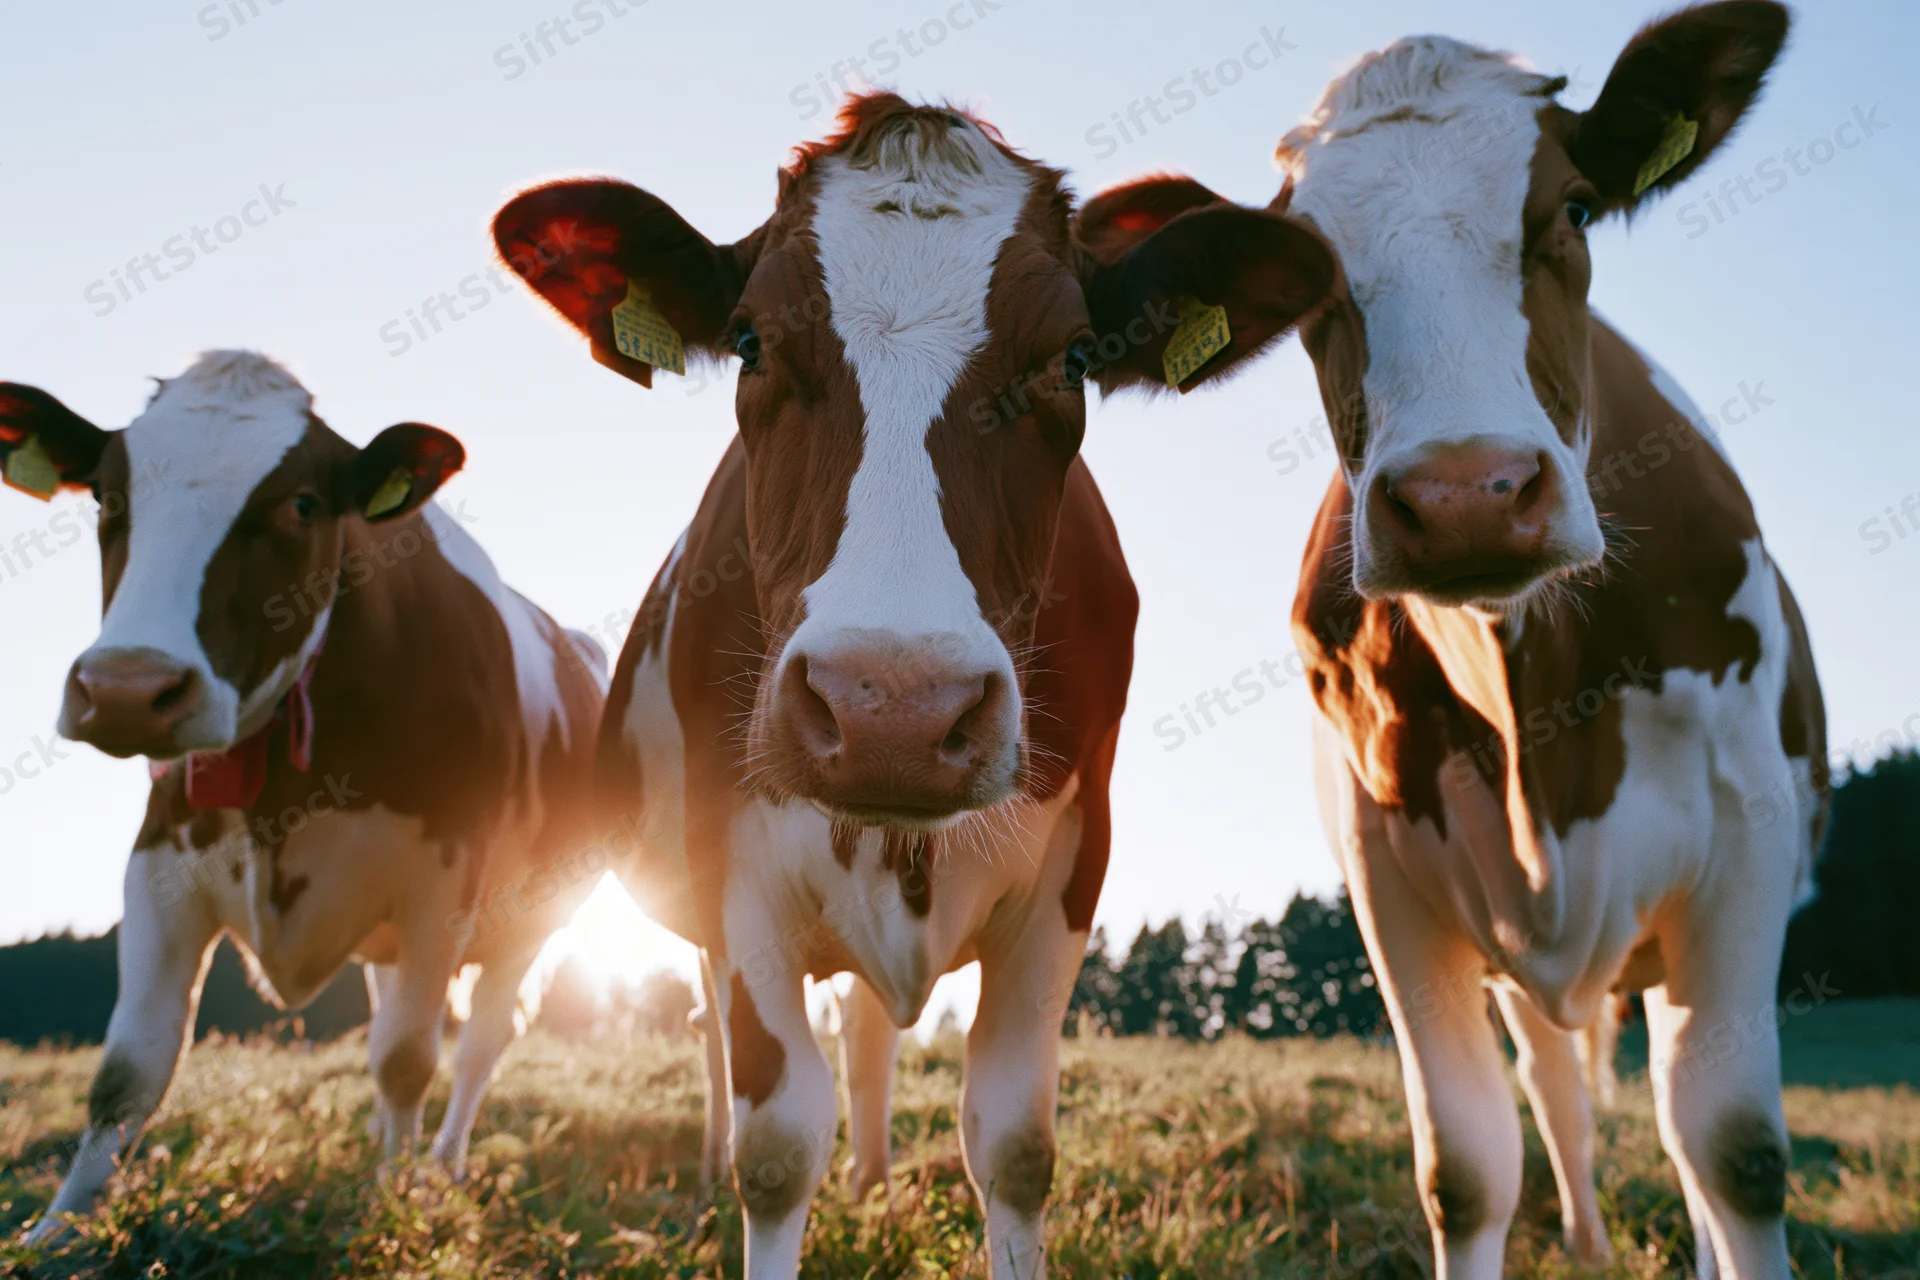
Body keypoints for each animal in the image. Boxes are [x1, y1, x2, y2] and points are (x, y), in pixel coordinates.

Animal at [1, 351, 608, 1243]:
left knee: (478, 1043)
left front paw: (392, 1206)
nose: (125, 690)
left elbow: (408, 1059)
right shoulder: (158, 862)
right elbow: (129, 1069)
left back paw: (438, 1167)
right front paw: (57, 1231)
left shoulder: (443, 882)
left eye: (301, 504)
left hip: (534, 923)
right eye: (109, 496)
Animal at [491, 94, 1335, 1278]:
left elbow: (1016, 1143)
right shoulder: (732, 857)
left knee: (867, 1028)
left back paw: (877, 1180)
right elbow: (776, 1144)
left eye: (1074, 358)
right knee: (720, 1035)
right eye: (750, 341)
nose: (890, 707)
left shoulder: (1073, 862)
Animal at [1102, 3, 1819, 1277]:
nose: (1467, 496)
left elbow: (1733, 1146)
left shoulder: (1748, 839)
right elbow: (1468, 1166)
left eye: (1573, 210)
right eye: (1308, 280)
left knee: (1678, 1122)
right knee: (1560, 1086)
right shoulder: (1388, 876)